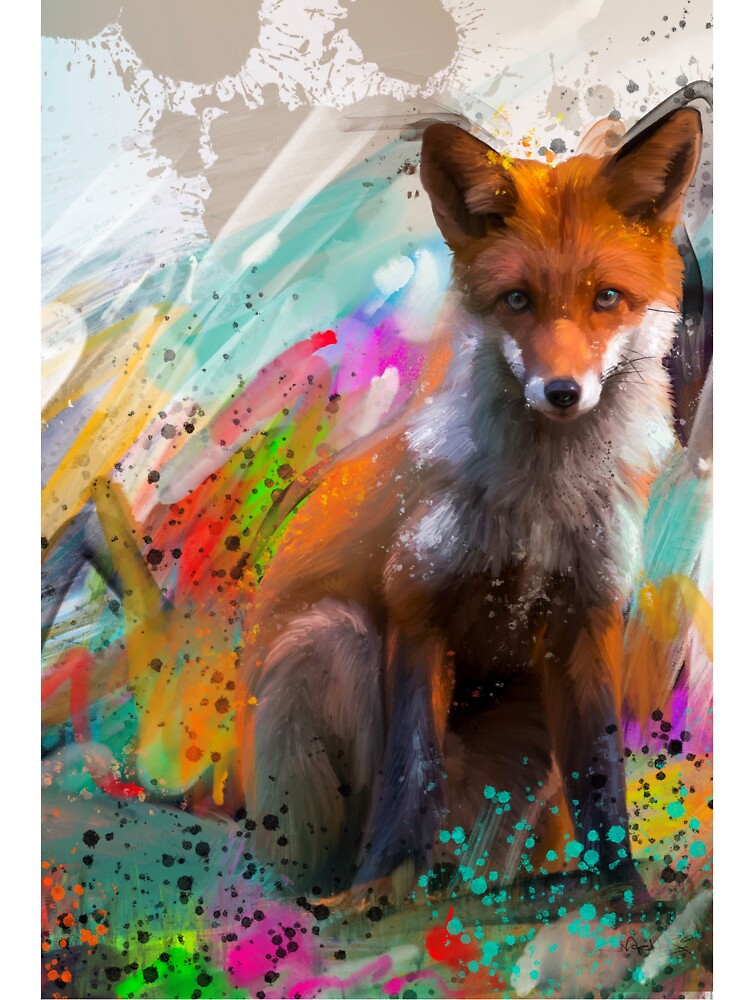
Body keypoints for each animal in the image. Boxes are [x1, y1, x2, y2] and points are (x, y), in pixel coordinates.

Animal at [236, 107, 703, 898]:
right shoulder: (417, 602)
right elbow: (410, 769)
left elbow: (602, 776)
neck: (540, 505)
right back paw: (359, 889)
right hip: (329, 639)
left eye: (607, 298)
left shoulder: (588, 616)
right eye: (517, 301)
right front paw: (381, 885)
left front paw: (624, 894)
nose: (562, 392)